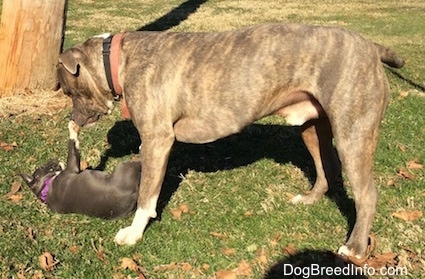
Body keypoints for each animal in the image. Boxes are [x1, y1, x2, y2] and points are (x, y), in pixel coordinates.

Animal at [56, 23, 404, 260]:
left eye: (69, 90)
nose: (72, 118)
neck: (118, 59)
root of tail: (372, 47)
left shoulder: (156, 140)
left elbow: (147, 196)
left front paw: (133, 233)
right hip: (312, 129)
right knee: (326, 168)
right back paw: (309, 199)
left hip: (352, 134)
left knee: (367, 194)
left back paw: (355, 247)